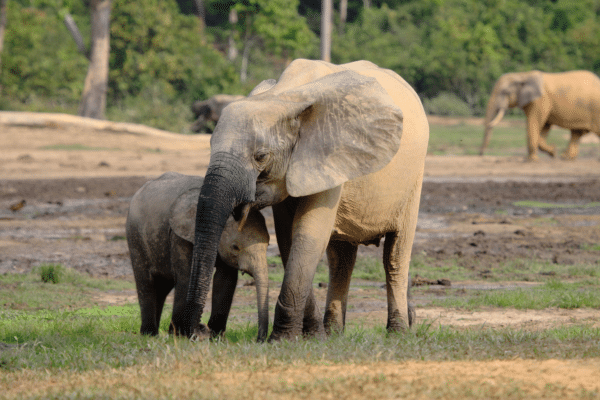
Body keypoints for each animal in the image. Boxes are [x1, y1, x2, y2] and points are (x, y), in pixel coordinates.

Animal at [126, 171, 270, 340]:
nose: (259, 339)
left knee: (162, 287)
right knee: (146, 283)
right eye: (235, 247)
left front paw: (216, 337)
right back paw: (149, 334)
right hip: (135, 236)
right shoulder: (180, 235)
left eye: (268, 245)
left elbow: (225, 279)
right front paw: (179, 334)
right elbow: (186, 275)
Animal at [175, 59, 432, 340]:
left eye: (261, 156)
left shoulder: (327, 154)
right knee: (340, 260)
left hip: (414, 179)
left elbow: (308, 233)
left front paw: (282, 340)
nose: (198, 331)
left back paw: (398, 332)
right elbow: (288, 239)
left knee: (395, 255)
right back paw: (333, 333)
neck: (284, 98)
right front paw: (310, 336)